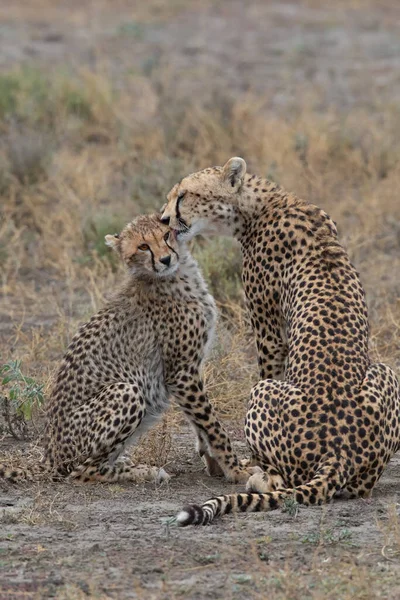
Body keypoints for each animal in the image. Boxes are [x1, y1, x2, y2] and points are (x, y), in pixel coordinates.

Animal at [0, 213, 252, 486]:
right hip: (126, 391)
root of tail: (50, 456)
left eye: (166, 235)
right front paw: (236, 470)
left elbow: (200, 423)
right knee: (84, 471)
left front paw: (216, 464)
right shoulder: (182, 372)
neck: (176, 274)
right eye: (143, 247)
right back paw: (146, 471)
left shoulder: (187, 372)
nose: (165, 259)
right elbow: (212, 424)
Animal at [160, 156, 400, 524]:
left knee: (280, 479)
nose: (163, 220)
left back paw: (258, 476)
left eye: (184, 195)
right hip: (387, 373)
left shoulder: (269, 333)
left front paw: (245, 463)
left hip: (263, 392)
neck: (262, 204)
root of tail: (339, 453)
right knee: (361, 488)